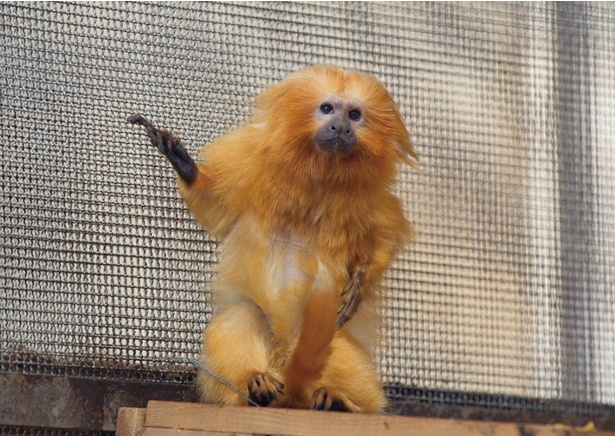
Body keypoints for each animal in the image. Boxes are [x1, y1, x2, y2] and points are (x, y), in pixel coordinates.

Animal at [129, 64, 418, 412]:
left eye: (354, 114)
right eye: (327, 109)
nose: (340, 127)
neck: (320, 180)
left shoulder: (375, 204)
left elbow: (383, 242)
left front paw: (360, 280)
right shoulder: (251, 165)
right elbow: (215, 210)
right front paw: (183, 163)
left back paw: (341, 402)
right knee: (244, 316)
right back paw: (257, 388)